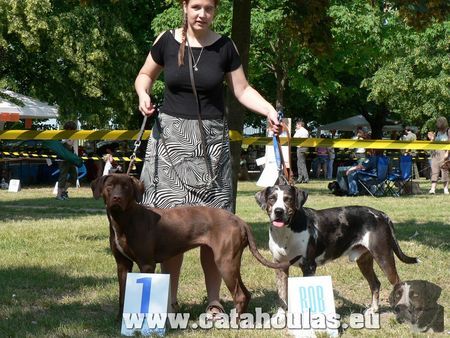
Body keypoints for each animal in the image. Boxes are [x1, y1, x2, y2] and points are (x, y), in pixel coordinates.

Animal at [91, 173, 298, 318]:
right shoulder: (122, 264)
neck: (124, 220)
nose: (116, 198)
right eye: (109, 186)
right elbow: (122, 295)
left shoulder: (146, 264)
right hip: (232, 262)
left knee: (239, 295)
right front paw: (120, 319)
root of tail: (239, 220)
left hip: (224, 262)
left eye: (126, 187)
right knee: (245, 294)